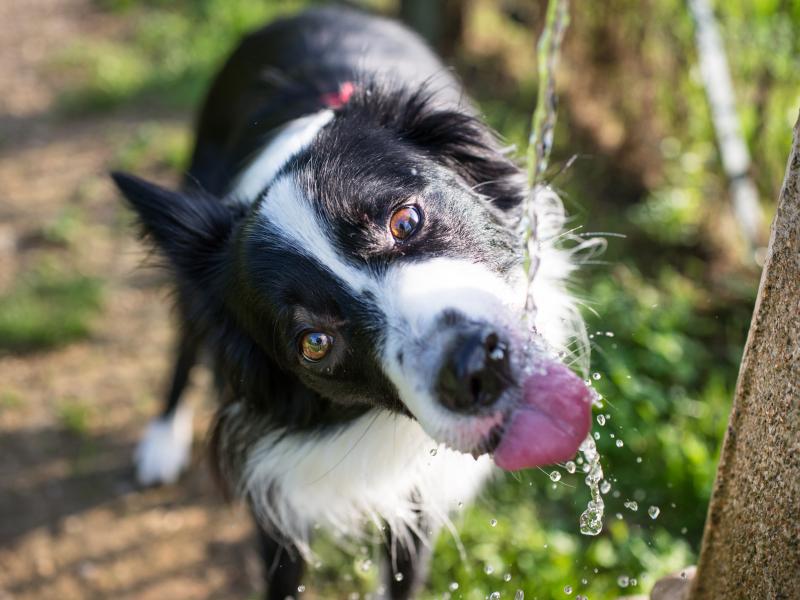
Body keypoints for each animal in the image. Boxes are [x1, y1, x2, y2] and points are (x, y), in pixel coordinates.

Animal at [115, 5, 596, 600]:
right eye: (314, 343)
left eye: (405, 220)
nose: (476, 369)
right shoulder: (277, 499)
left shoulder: (418, 502)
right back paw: (162, 439)